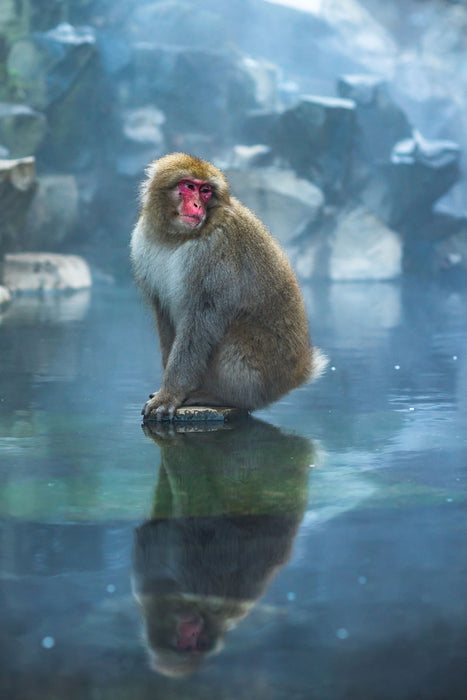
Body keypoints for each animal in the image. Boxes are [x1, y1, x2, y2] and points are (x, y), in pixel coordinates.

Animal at [129, 153, 326, 418]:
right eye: (189, 186)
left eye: (206, 191)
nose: (197, 206)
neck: (176, 237)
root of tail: (297, 374)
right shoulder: (142, 241)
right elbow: (164, 316)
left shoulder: (215, 249)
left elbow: (201, 320)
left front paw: (171, 393)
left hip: (259, 373)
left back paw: (222, 397)